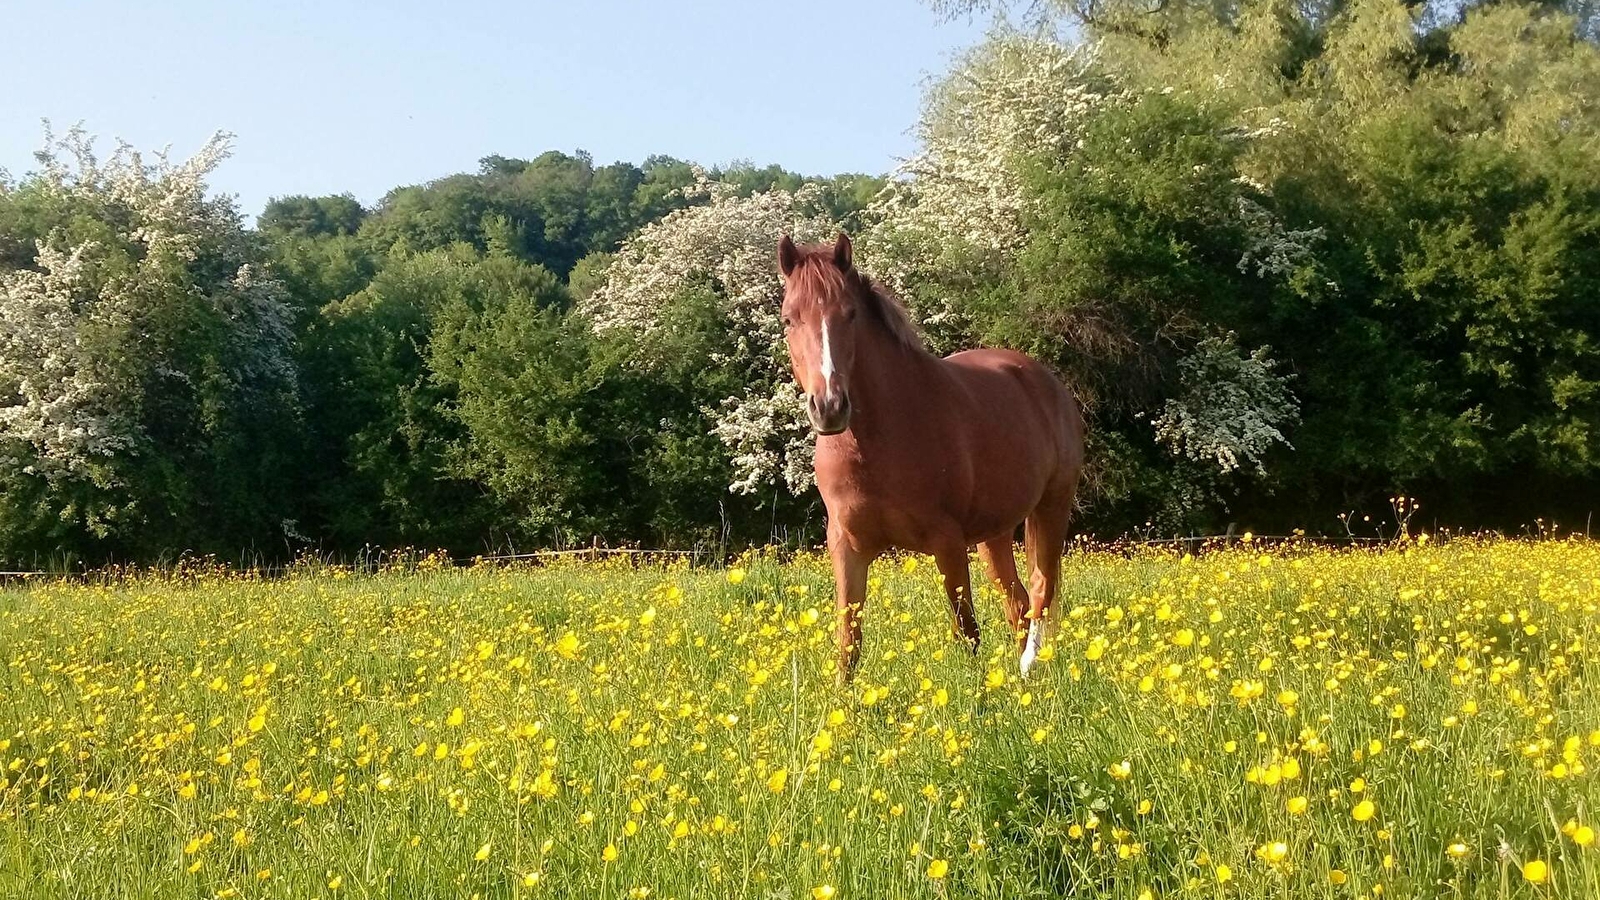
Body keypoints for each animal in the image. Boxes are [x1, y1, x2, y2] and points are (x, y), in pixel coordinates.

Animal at [777, 230, 1088, 679]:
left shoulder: (948, 544)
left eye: (849, 314)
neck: (875, 443)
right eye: (788, 319)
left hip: (1052, 507)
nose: (829, 407)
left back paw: (1030, 665)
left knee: (1041, 592)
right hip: (994, 533)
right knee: (1017, 602)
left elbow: (966, 632)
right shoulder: (846, 547)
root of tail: (1045, 381)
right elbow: (848, 642)